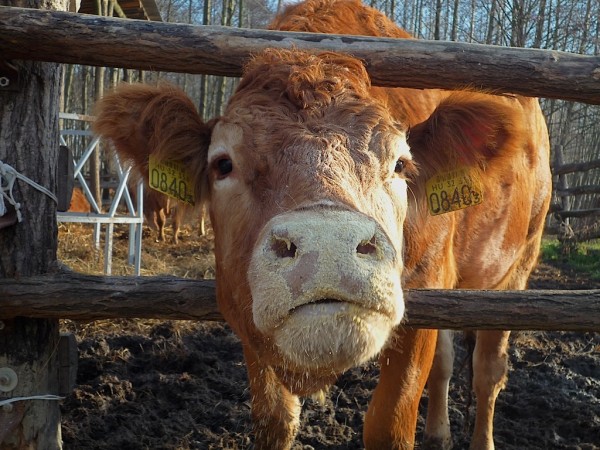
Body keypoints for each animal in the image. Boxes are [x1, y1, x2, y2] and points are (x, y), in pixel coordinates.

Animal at [95, 0, 552, 446]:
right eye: (223, 164)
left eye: (400, 164)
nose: (328, 246)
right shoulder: (247, 311)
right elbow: (275, 420)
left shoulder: (428, 286)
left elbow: (389, 422)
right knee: (446, 362)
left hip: (517, 268)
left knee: (488, 371)